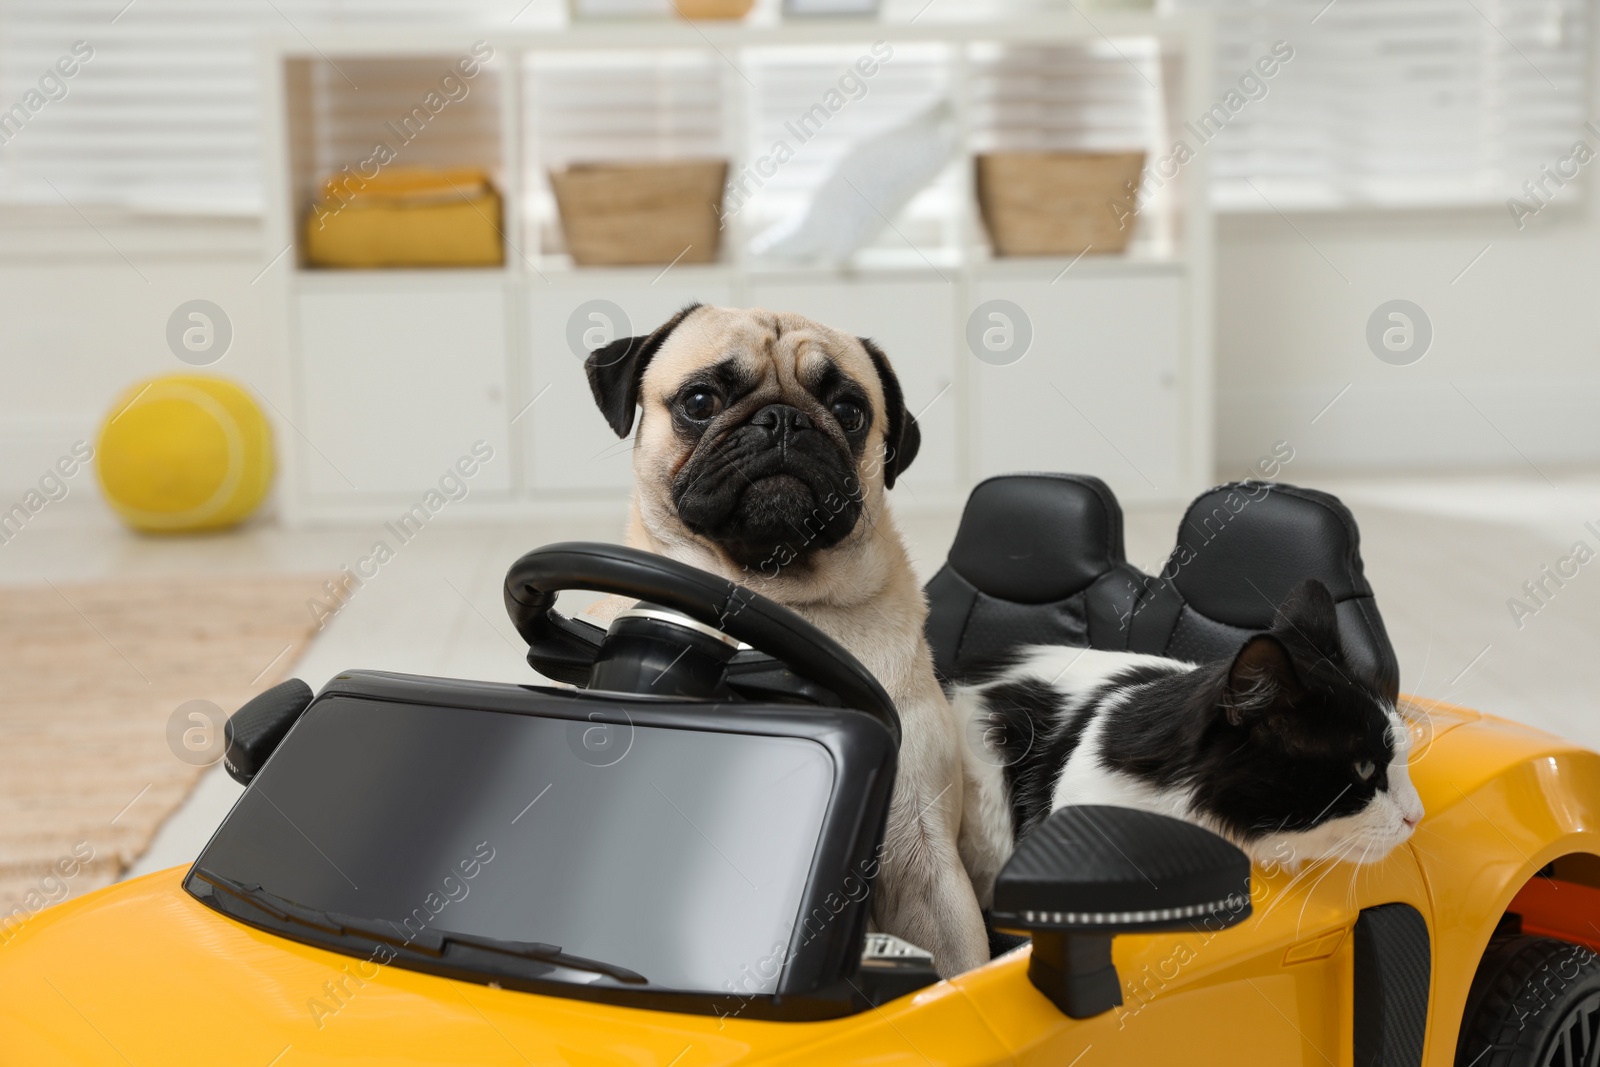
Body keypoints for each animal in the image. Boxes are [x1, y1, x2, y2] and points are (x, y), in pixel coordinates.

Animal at [582, 303, 992, 979]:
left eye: (850, 411)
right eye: (700, 400)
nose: (784, 419)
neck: (777, 596)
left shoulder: (926, 866)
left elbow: (963, 965)